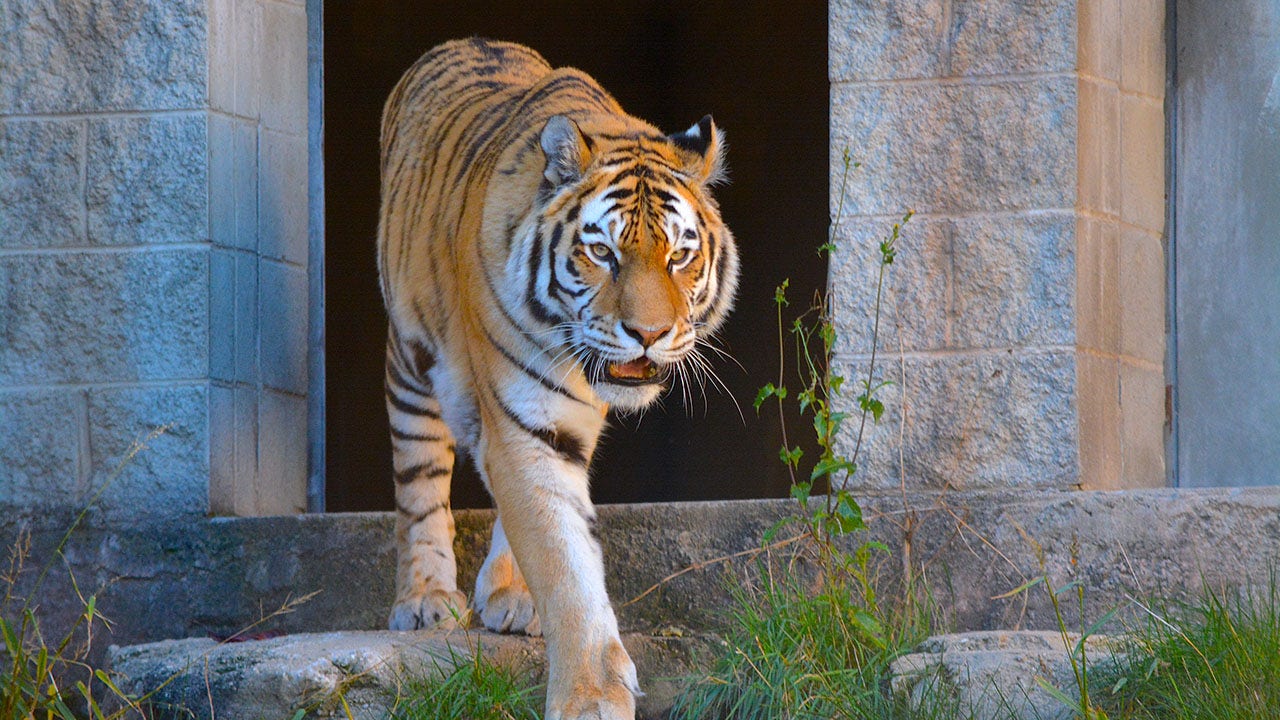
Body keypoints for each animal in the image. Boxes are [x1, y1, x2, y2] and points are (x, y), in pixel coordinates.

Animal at [376, 37, 738, 719]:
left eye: (680, 255)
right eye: (602, 253)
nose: (648, 333)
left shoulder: (557, 422)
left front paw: (524, 599)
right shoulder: (523, 419)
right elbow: (563, 561)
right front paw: (590, 698)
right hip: (408, 356)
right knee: (419, 477)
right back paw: (425, 598)